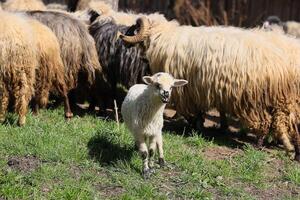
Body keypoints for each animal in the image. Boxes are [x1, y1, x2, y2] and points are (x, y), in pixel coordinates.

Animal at [120, 17, 300, 161]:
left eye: (135, 27)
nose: (122, 37)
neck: (161, 37)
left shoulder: (185, 91)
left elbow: (190, 110)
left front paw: (195, 125)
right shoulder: (197, 89)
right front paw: (204, 125)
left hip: (256, 99)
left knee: (267, 122)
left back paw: (262, 143)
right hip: (274, 98)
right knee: (278, 122)